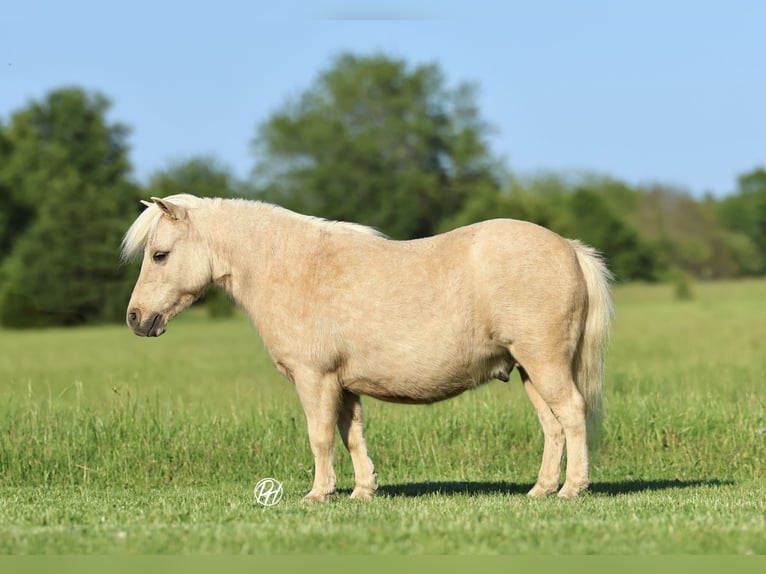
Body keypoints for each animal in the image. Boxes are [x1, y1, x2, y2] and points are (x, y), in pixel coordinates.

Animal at [122, 194, 613, 500]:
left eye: (160, 254)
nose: (135, 318)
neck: (293, 268)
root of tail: (568, 248)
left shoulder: (315, 379)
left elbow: (320, 436)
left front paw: (319, 493)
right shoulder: (344, 385)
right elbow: (351, 434)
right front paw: (363, 490)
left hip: (544, 363)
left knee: (572, 414)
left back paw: (572, 488)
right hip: (531, 369)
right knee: (552, 426)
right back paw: (542, 489)